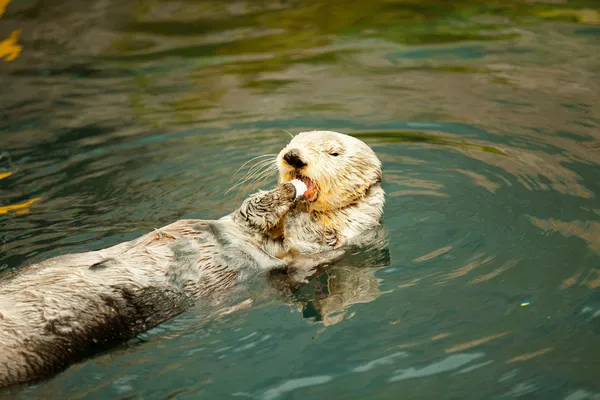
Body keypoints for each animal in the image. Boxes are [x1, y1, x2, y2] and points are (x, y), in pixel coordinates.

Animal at [0, 131, 384, 388]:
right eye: (296, 140)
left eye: (334, 152)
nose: (293, 157)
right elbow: (250, 213)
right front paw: (281, 192)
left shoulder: (333, 239)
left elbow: (302, 237)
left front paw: (289, 197)